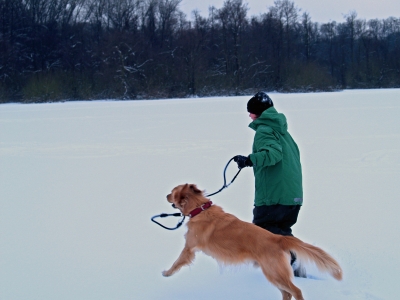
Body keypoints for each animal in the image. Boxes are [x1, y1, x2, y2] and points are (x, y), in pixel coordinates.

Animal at [161, 184, 342, 298]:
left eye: (172, 191)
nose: (166, 195)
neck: (200, 209)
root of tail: (278, 238)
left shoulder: (189, 247)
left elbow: (177, 262)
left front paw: (167, 273)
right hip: (273, 273)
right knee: (287, 293)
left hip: (273, 272)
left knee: (295, 291)